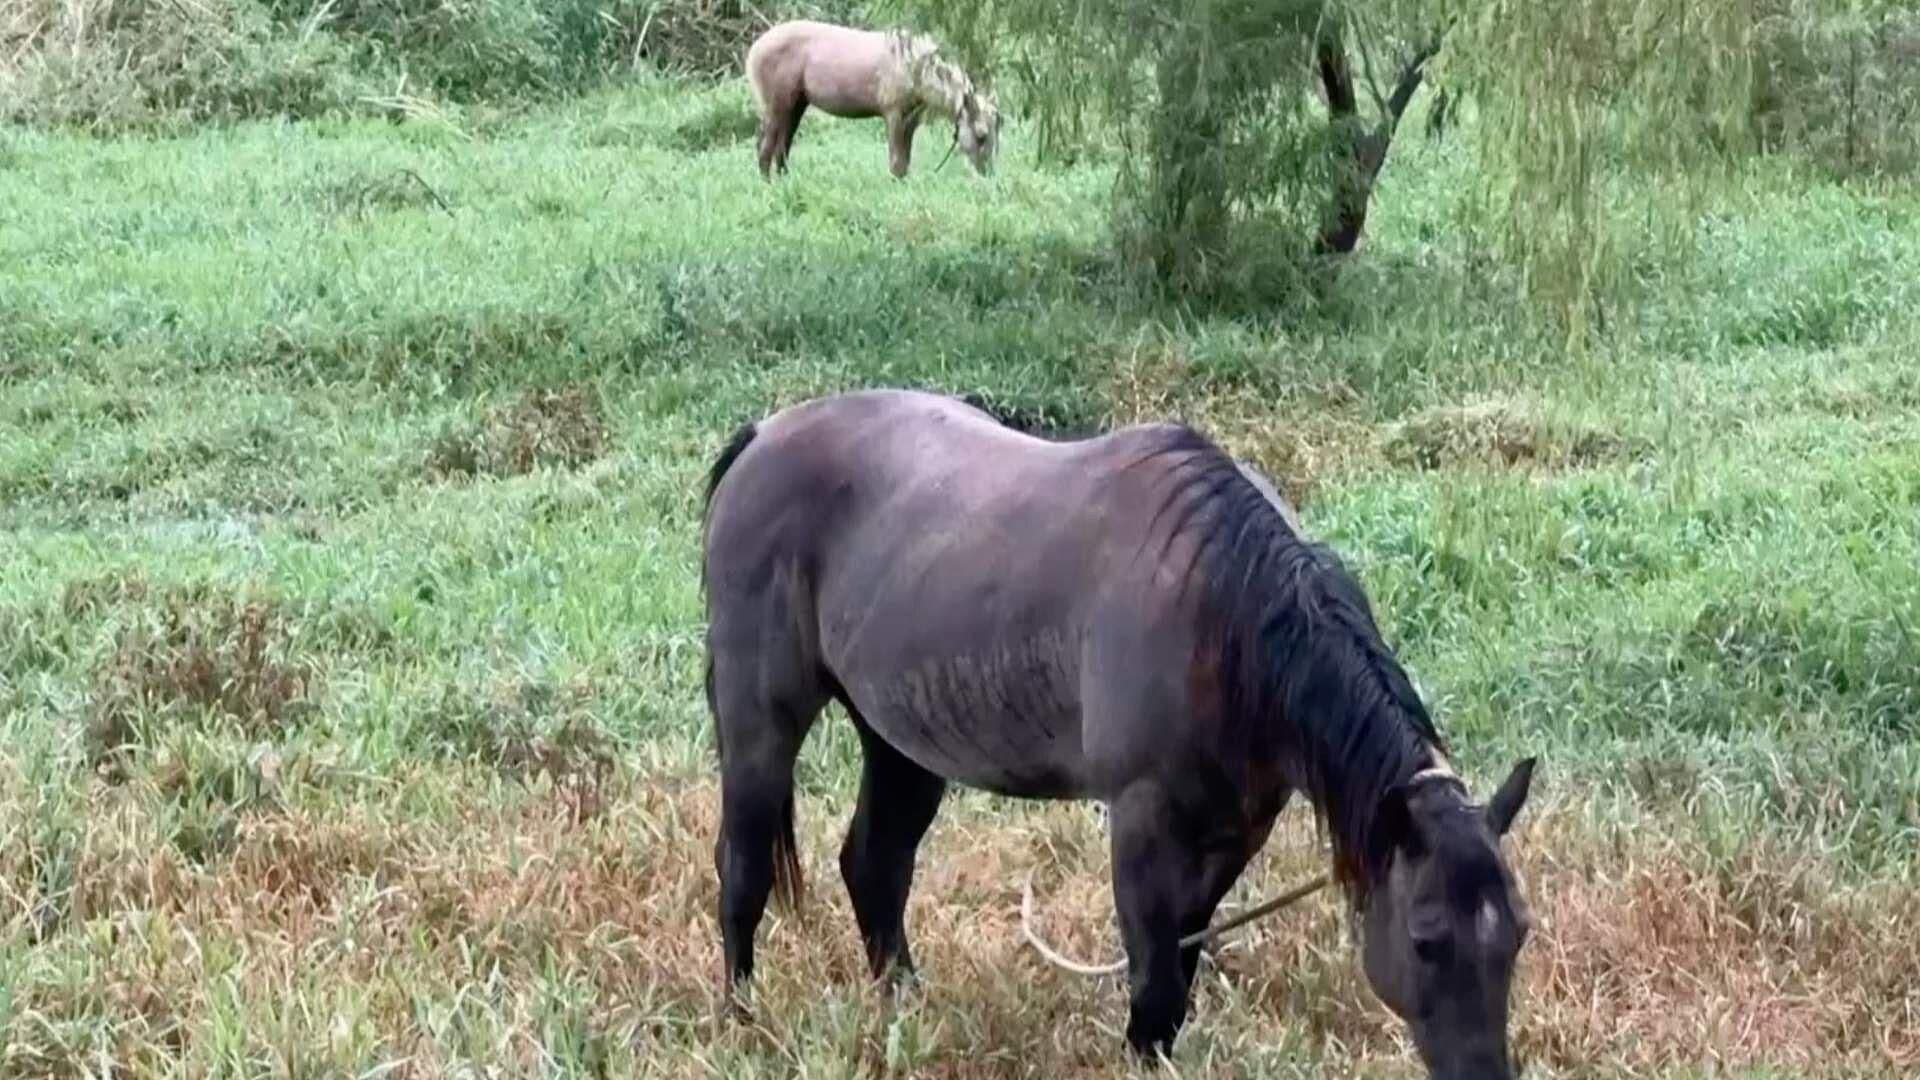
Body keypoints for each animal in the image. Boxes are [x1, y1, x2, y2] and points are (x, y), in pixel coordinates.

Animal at [700, 389, 1539, 1078]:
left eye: (1517, 936)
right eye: (1427, 939)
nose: (1487, 1078)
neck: (1227, 614)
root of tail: (763, 435)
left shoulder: (1234, 833)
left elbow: (1181, 964)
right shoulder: (1141, 819)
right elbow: (1154, 977)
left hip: (900, 742)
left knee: (875, 865)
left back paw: (905, 1008)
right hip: (761, 723)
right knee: (744, 868)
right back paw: (742, 1018)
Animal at [744, 20, 1001, 180]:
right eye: (981, 135)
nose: (988, 173)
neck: (917, 67)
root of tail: (754, 49)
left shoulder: (911, 120)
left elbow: (905, 162)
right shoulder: (894, 115)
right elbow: (896, 162)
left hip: (795, 107)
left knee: (782, 149)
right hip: (777, 107)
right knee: (765, 149)